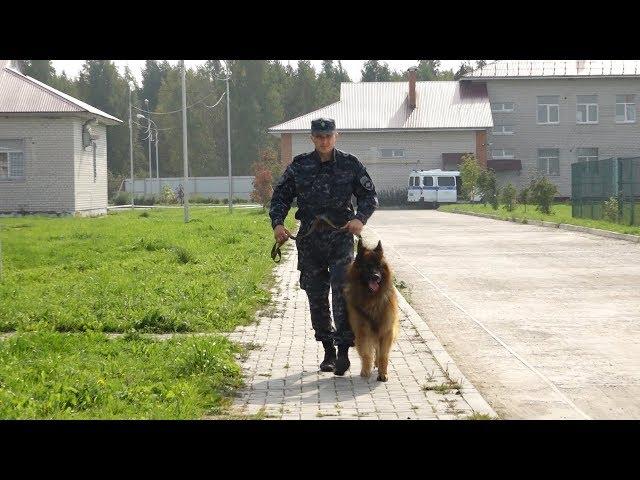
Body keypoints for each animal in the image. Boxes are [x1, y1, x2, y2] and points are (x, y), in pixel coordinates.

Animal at [342, 238, 398, 380]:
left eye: (379, 266)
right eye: (367, 266)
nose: (376, 277)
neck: (372, 300)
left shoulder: (386, 330)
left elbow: (383, 355)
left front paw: (383, 373)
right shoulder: (362, 330)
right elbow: (366, 353)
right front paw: (365, 371)